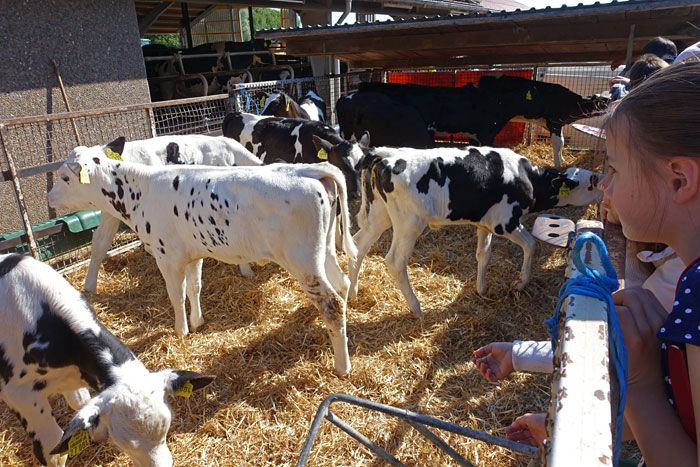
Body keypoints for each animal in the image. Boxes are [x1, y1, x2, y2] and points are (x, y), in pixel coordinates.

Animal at [349, 145, 602, 316]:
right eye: (592, 182)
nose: (604, 186)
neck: (527, 178)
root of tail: (386, 154)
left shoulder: (484, 223)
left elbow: (483, 254)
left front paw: (482, 289)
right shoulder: (505, 222)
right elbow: (531, 246)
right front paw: (520, 283)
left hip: (379, 215)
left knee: (358, 245)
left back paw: (352, 292)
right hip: (409, 225)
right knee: (395, 262)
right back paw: (416, 307)